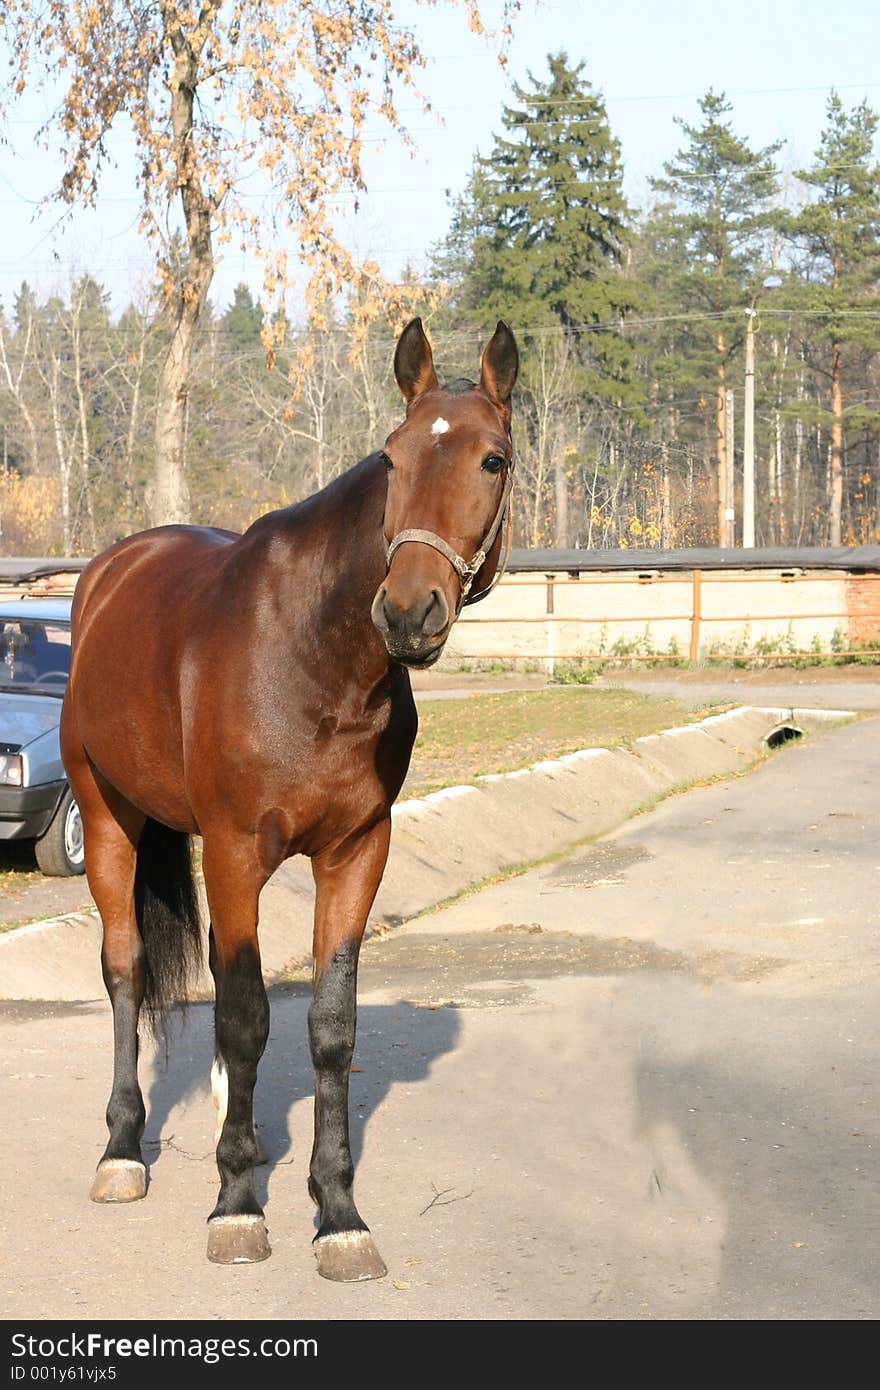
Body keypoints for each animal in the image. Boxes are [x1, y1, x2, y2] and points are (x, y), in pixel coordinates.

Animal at [61, 315, 517, 1278]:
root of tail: (113, 567)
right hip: (110, 818)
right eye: (391, 456)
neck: (312, 652)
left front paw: (336, 1211)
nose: (409, 612)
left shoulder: (357, 852)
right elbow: (243, 1015)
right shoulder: (237, 849)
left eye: (493, 459)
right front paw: (237, 1206)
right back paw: (122, 1151)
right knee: (125, 972)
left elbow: (329, 1029)